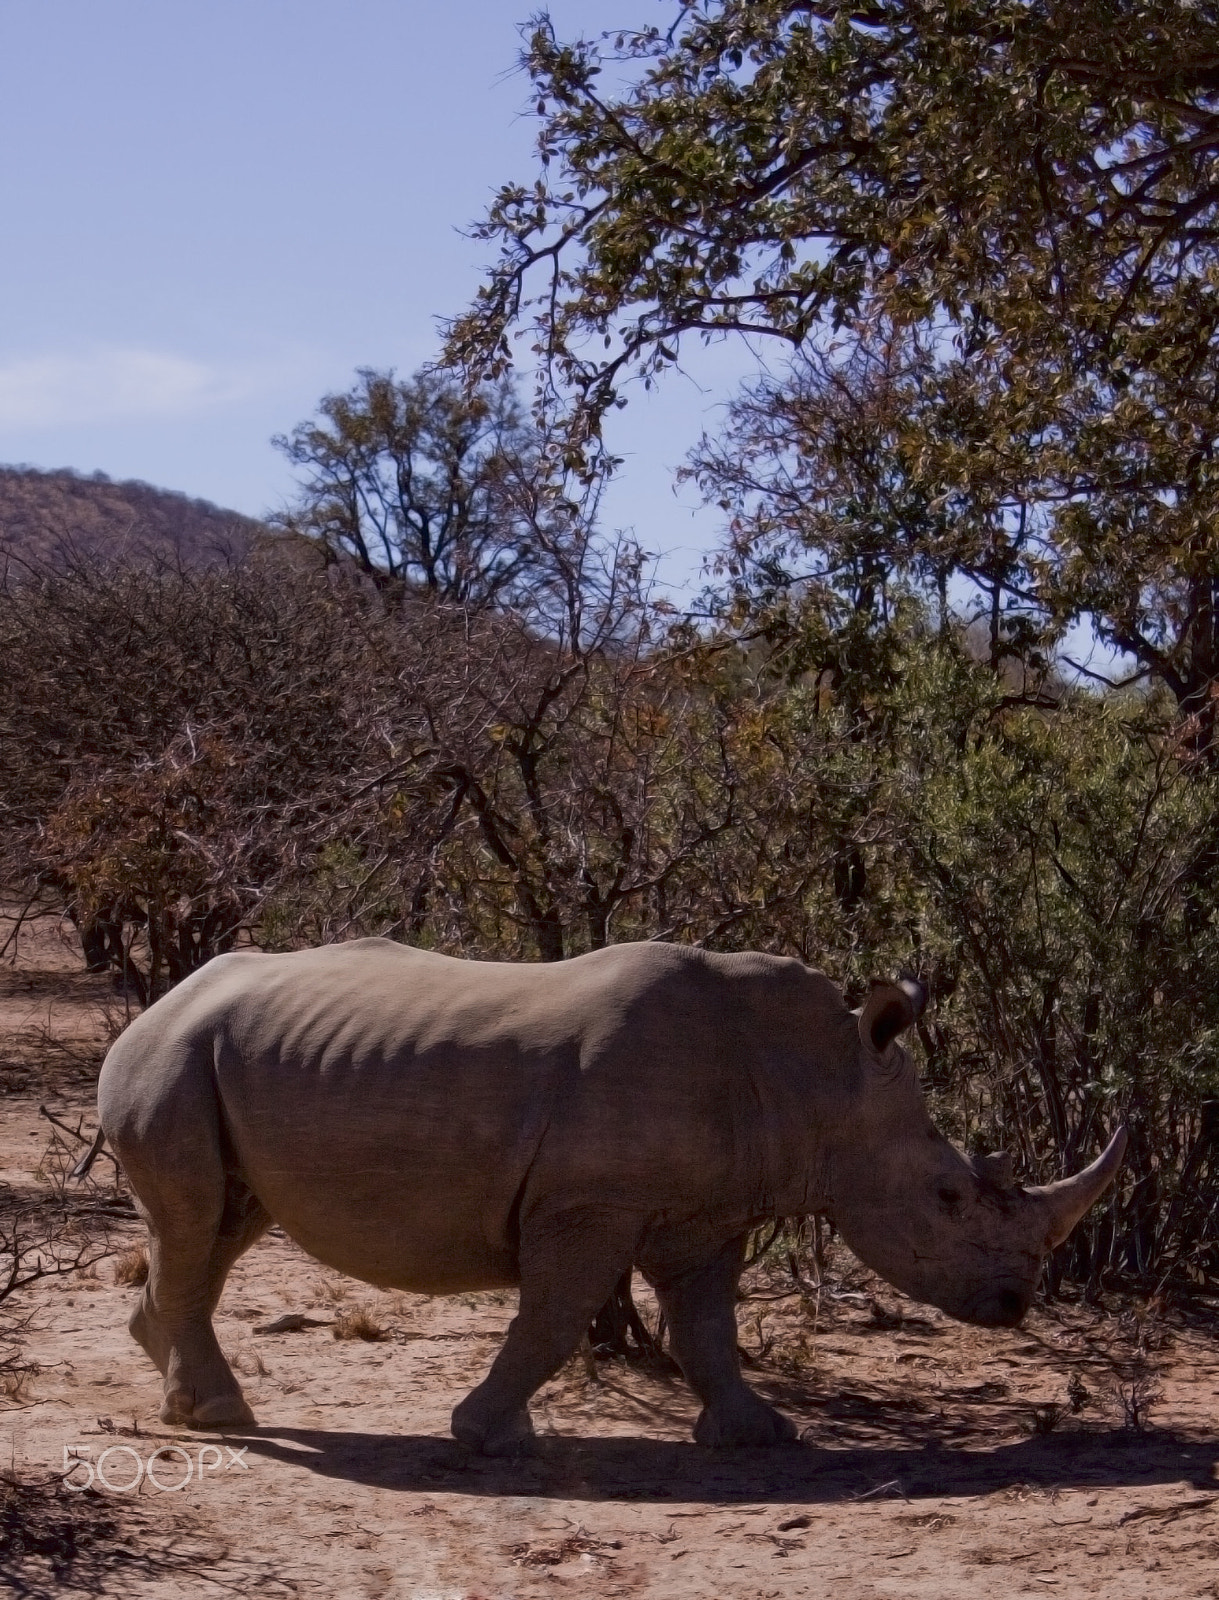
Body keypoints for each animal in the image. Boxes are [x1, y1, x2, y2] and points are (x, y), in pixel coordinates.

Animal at [97, 939, 1124, 1452]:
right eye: (948, 1196)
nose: (1014, 1303)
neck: (820, 1074)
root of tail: (157, 1004)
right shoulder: (588, 1201)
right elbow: (555, 1316)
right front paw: (486, 1438)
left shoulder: (707, 1209)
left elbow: (706, 1327)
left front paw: (757, 1436)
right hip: (173, 1061)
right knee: (194, 1222)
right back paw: (220, 1421)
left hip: (220, 1060)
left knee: (222, 1226)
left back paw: (192, 1396)